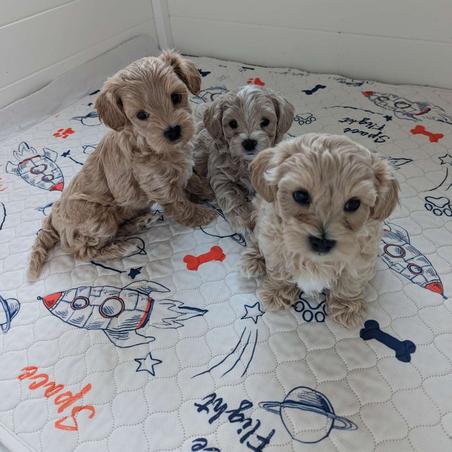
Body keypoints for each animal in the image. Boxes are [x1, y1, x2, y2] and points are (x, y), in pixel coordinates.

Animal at [28, 51, 216, 279]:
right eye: (142, 115)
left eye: (176, 97)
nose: (173, 131)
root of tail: (53, 219)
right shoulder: (157, 183)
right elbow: (179, 202)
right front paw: (201, 214)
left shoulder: (183, 167)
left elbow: (192, 179)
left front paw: (207, 189)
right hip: (98, 218)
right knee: (85, 252)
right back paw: (125, 247)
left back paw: (140, 222)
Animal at [193, 85, 294, 229]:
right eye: (232, 123)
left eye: (265, 121)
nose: (249, 142)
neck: (247, 162)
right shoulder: (221, 176)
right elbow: (233, 199)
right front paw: (246, 220)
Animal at [241, 133, 400, 327]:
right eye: (300, 195)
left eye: (353, 204)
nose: (322, 242)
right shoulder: (273, 240)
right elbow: (279, 269)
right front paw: (277, 292)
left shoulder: (362, 255)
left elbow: (351, 280)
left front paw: (346, 306)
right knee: (256, 238)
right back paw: (253, 259)